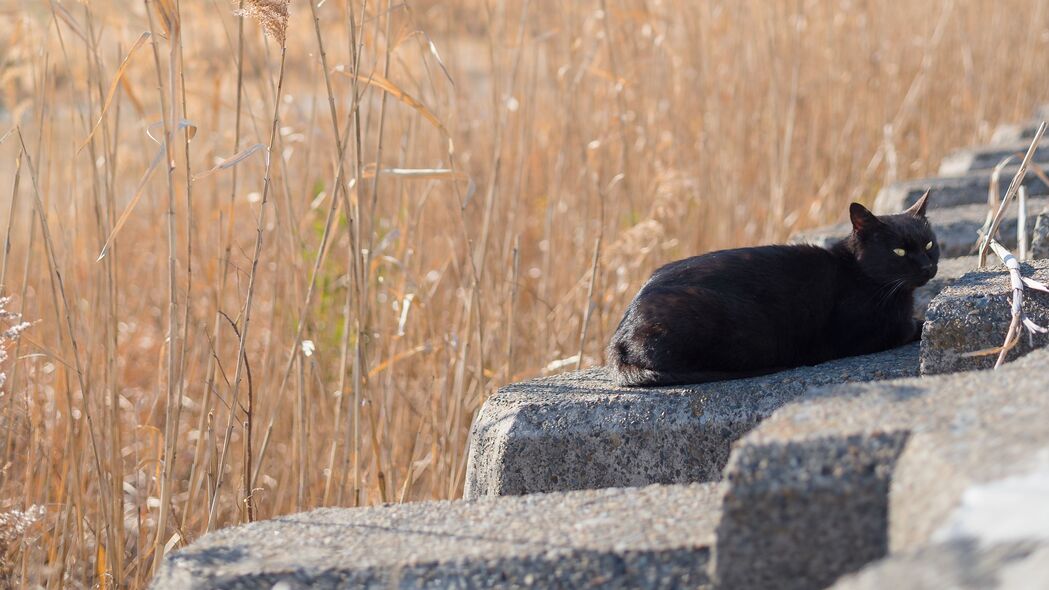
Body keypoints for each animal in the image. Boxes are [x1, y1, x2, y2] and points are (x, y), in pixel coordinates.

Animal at [612, 192, 939, 386]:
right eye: (899, 252)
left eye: (929, 245)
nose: (927, 268)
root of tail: (619, 337)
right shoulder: (868, 333)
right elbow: (911, 326)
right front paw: (921, 321)